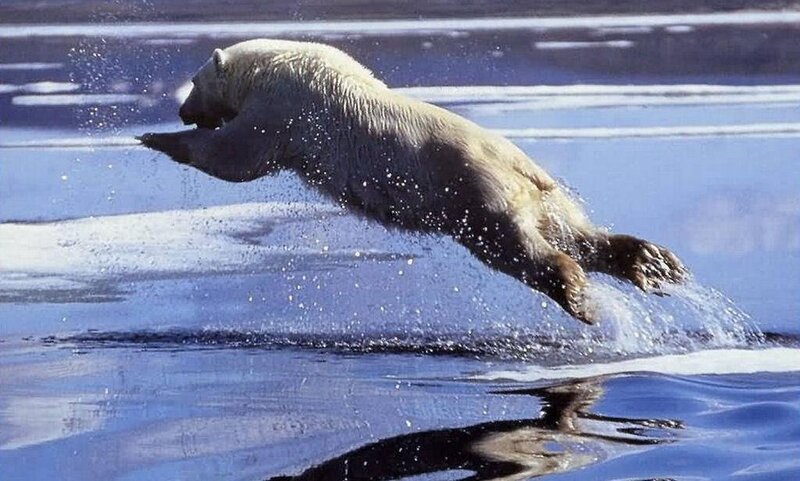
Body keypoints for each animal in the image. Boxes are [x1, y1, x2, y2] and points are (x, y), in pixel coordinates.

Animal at [138, 39, 687, 324]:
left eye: (193, 84)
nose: (183, 111)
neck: (272, 63)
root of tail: (525, 168)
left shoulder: (285, 108)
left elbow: (237, 159)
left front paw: (156, 137)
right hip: (541, 197)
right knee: (578, 234)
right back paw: (652, 262)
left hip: (474, 195)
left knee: (520, 248)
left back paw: (577, 295)